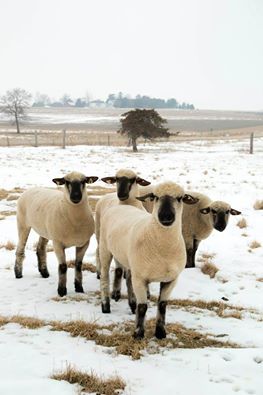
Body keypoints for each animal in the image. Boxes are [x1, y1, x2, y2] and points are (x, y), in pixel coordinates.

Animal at [99, 181, 198, 338]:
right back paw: (105, 306)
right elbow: (143, 307)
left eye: (180, 198)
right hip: (104, 249)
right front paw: (138, 333)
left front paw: (160, 332)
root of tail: (121, 206)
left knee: (128, 278)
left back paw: (131, 304)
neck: (164, 249)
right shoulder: (140, 279)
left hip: (128, 259)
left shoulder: (171, 279)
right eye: (155, 197)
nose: (166, 216)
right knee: (104, 277)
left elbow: (162, 305)